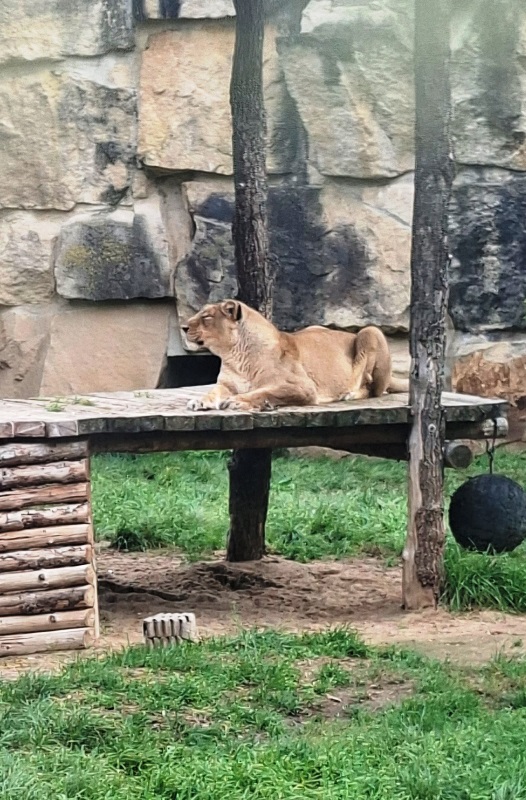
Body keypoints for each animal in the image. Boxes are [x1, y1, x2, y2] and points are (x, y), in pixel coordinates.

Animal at [182, 300, 409, 412]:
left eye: (206, 317)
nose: (183, 327)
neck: (234, 355)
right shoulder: (226, 384)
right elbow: (213, 392)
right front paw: (200, 401)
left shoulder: (303, 387)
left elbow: (263, 391)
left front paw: (237, 401)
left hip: (371, 332)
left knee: (373, 389)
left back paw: (349, 393)